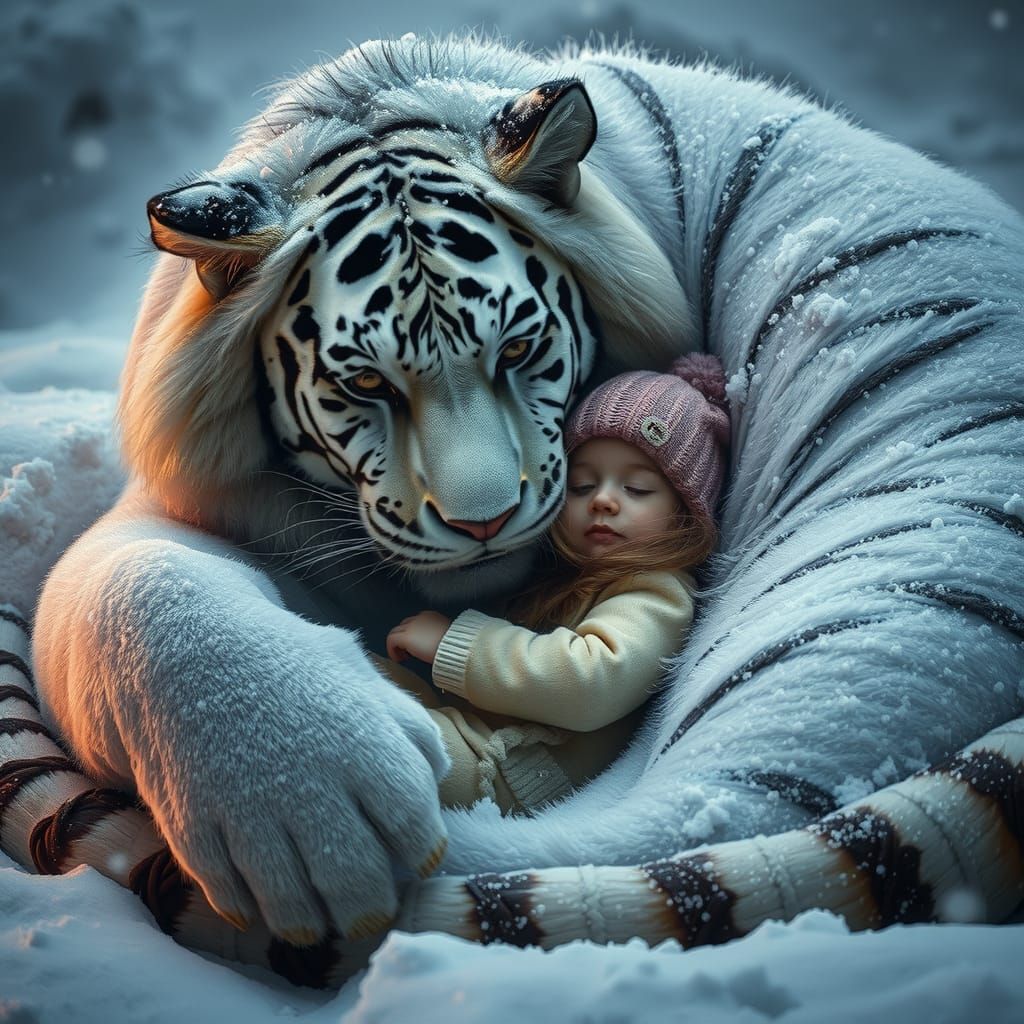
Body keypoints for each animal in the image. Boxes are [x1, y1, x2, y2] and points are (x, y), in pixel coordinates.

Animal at [1, 34, 1022, 988]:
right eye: (365, 383)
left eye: (520, 349)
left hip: (857, 608)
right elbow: (132, 578)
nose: (483, 521)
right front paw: (306, 805)